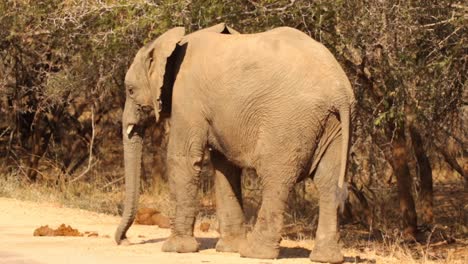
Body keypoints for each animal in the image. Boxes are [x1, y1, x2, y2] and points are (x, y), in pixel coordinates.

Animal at [116, 23, 354, 264]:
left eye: (130, 90)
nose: (124, 241)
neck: (173, 44)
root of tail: (340, 93)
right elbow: (225, 167)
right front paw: (227, 249)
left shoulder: (187, 96)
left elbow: (182, 158)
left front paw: (175, 249)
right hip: (332, 124)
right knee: (327, 181)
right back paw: (326, 258)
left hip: (288, 121)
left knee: (275, 178)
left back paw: (255, 253)